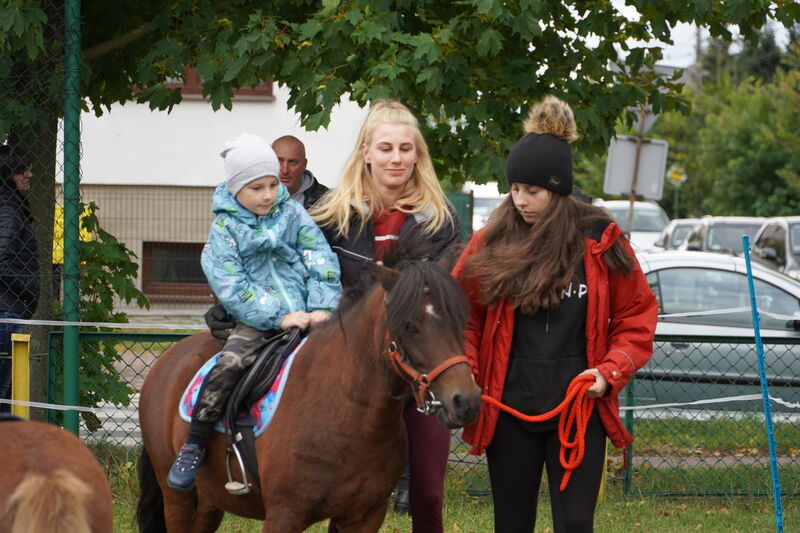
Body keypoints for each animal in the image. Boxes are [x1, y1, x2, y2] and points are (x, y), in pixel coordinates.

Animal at [138, 249, 482, 532]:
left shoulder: (365, 517)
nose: (465, 401)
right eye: (410, 325)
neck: (348, 412)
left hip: (211, 500)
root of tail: (167, 359)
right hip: (177, 497)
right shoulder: (284, 516)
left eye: (461, 319)